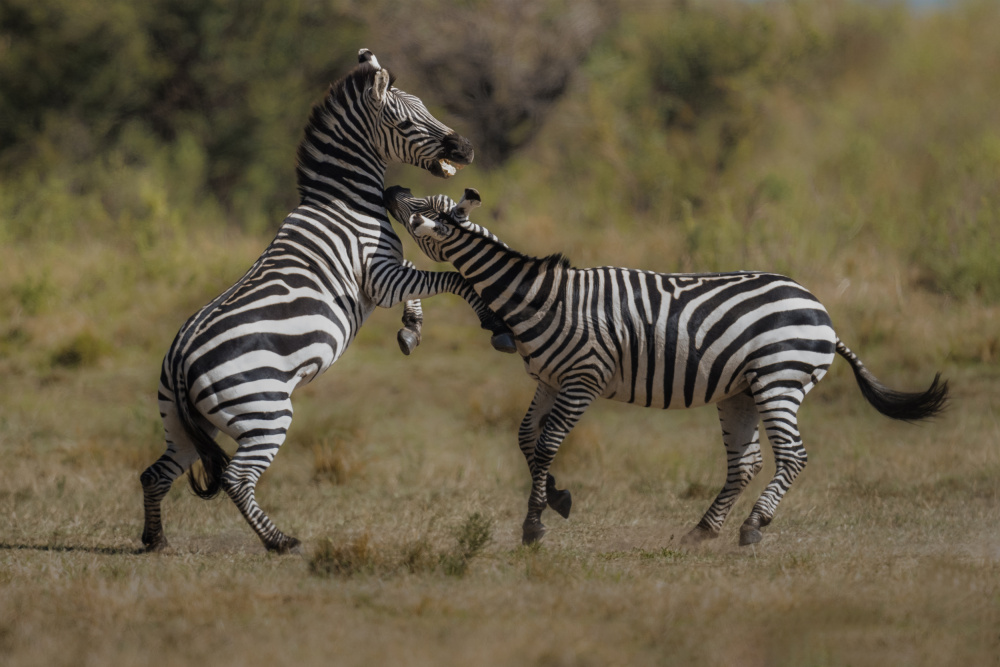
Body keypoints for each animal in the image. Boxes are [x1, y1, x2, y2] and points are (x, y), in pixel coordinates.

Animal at [140, 49, 516, 556]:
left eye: (426, 106)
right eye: (404, 122)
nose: (467, 149)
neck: (345, 201)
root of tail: (179, 359)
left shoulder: (387, 274)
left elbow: (422, 286)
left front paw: (411, 330)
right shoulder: (379, 277)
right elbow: (451, 280)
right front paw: (493, 322)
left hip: (181, 424)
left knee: (155, 474)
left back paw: (155, 540)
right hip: (264, 411)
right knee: (236, 479)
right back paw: (280, 541)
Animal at [380, 187, 944, 548]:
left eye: (420, 206)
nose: (391, 187)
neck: (542, 297)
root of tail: (822, 311)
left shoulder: (582, 379)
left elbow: (545, 444)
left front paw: (535, 524)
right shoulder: (549, 381)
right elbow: (526, 440)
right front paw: (557, 497)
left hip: (778, 378)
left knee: (793, 455)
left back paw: (753, 527)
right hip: (740, 391)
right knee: (745, 462)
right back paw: (702, 531)